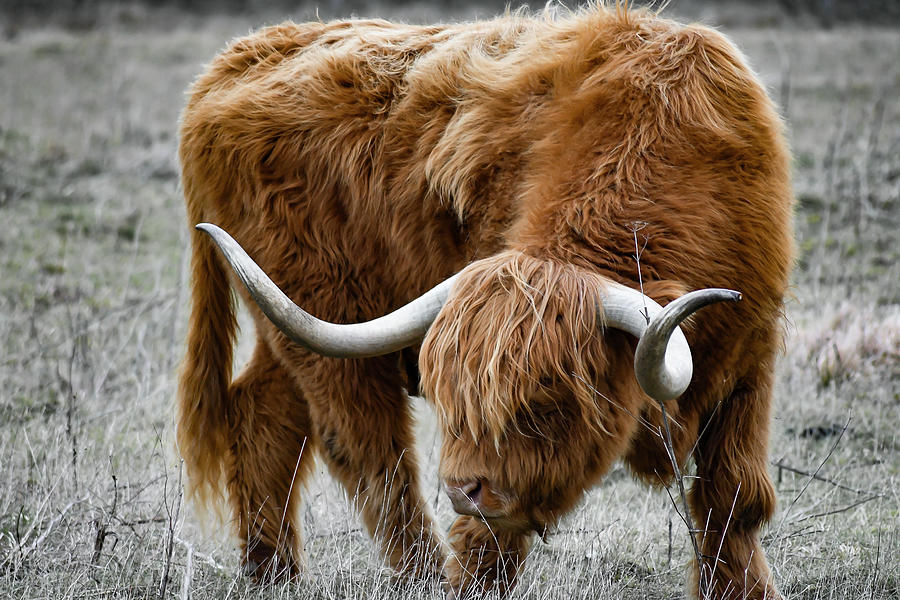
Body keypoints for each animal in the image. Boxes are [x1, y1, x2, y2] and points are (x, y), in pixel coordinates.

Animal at [179, 5, 792, 600]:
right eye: (454, 401)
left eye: (546, 402)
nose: (464, 489)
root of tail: (236, 62)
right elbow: (488, 536)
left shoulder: (750, 359)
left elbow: (734, 495)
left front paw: (745, 591)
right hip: (326, 318)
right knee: (370, 449)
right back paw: (418, 576)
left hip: (297, 322)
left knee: (265, 413)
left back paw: (272, 570)